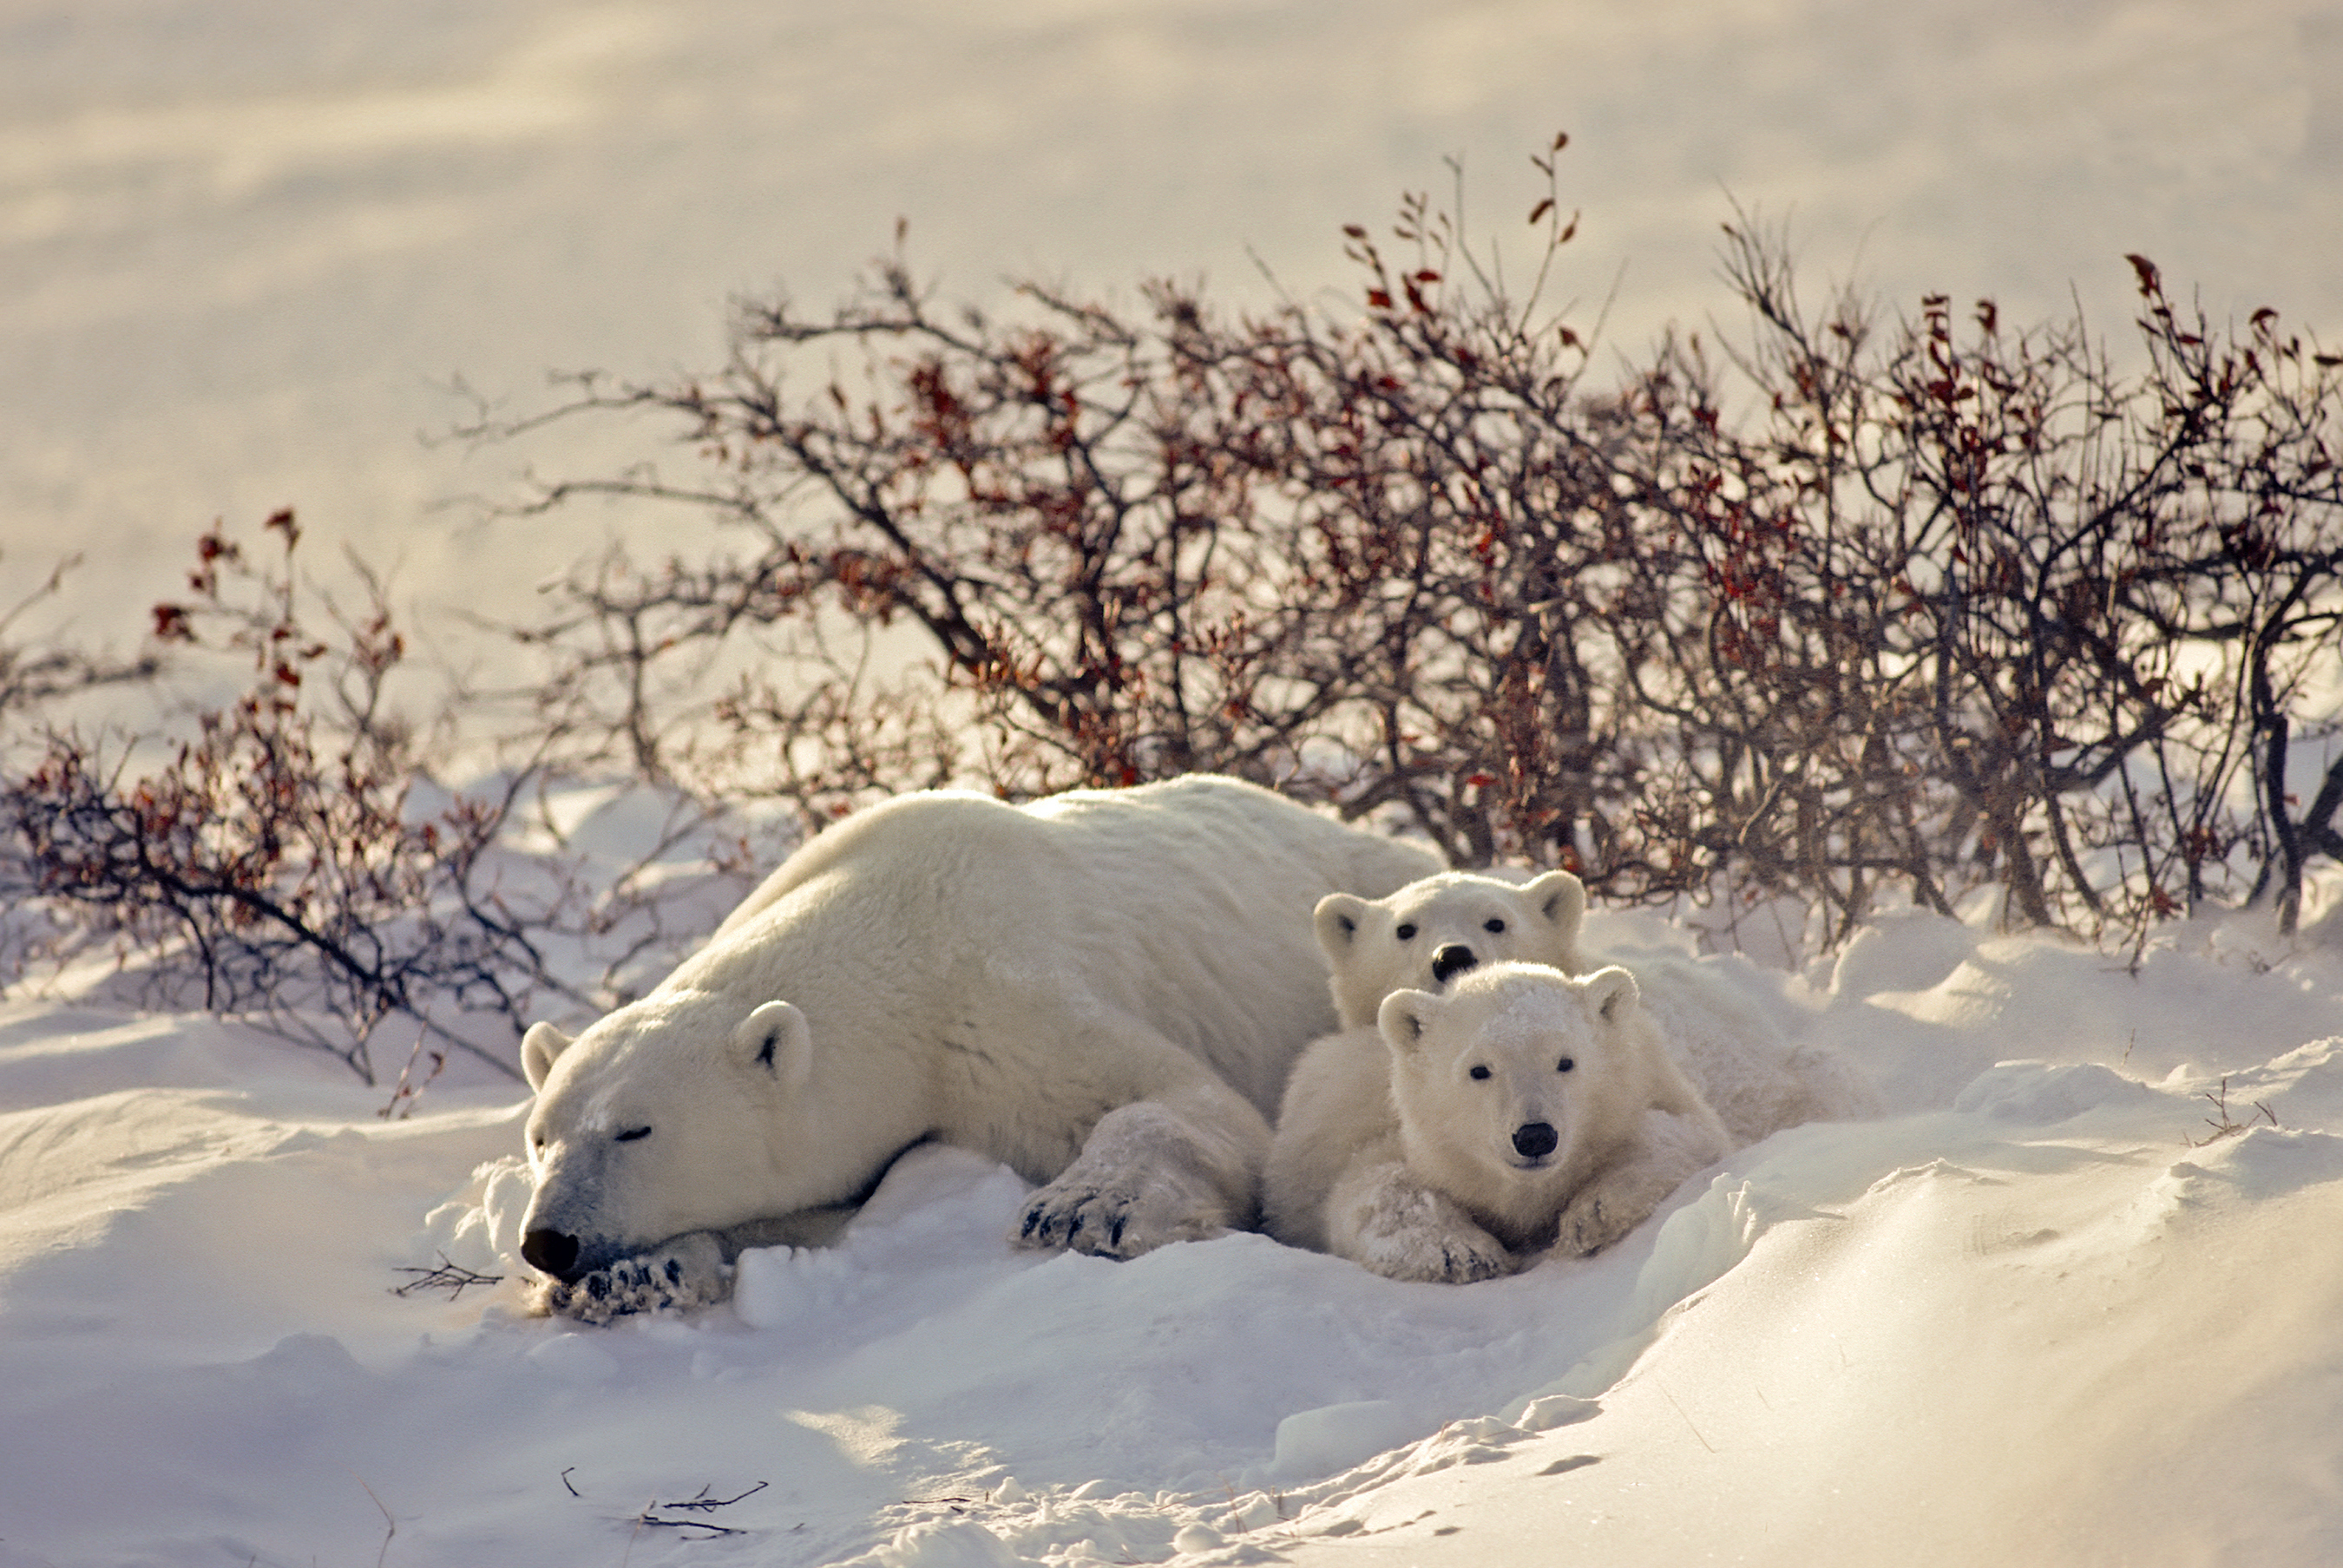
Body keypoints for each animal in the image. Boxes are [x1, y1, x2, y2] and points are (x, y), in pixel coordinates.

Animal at [517, 768, 1424, 1312]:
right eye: (540, 1136)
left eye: (635, 1129)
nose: (547, 1239)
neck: (892, 922)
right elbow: (807, 1206)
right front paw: (634, 1275)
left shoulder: (994, 999)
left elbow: (1191, 1102)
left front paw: (1083, 1206)